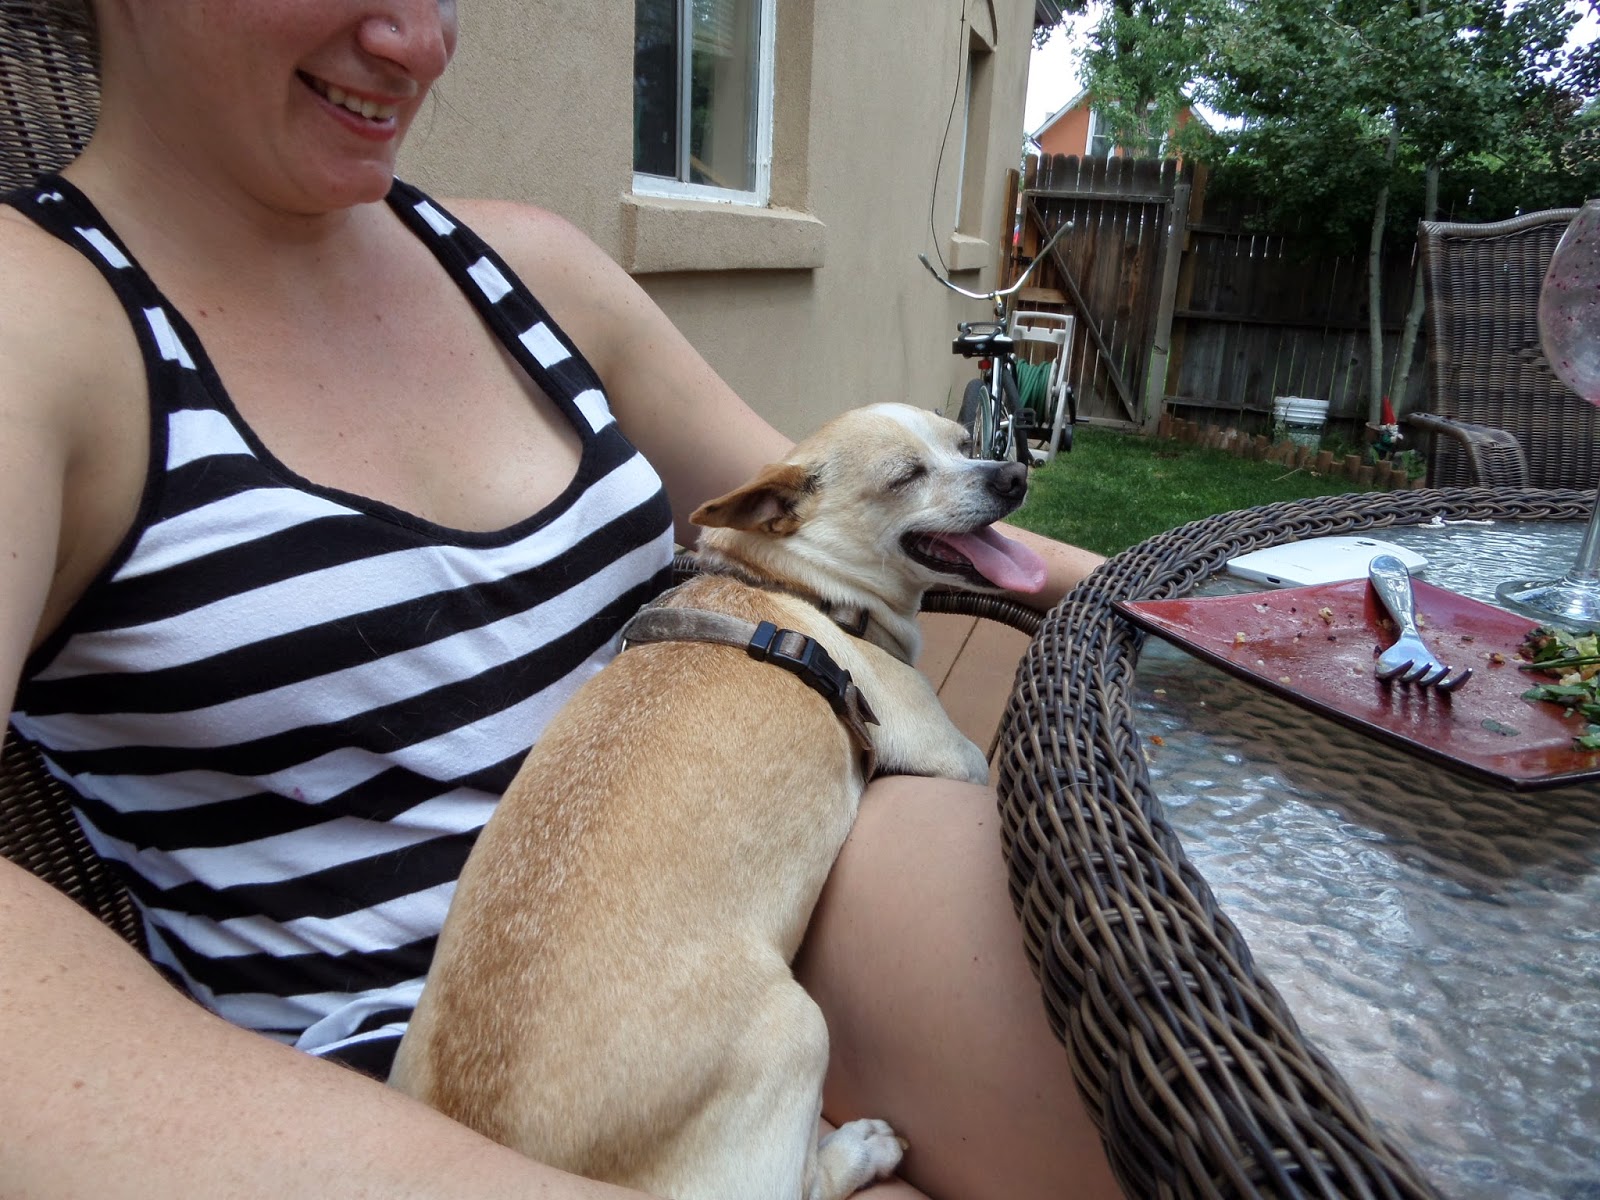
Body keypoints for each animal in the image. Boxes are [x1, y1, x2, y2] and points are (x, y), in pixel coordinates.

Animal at [389, 402, 1047, 1200]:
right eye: (906, 477)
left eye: (964, 442)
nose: (1013, 473)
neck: (792, 584)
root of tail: (501, 1150)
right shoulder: (950, 753)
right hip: (799, 1029)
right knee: (801, 1187)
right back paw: (861, 1150)